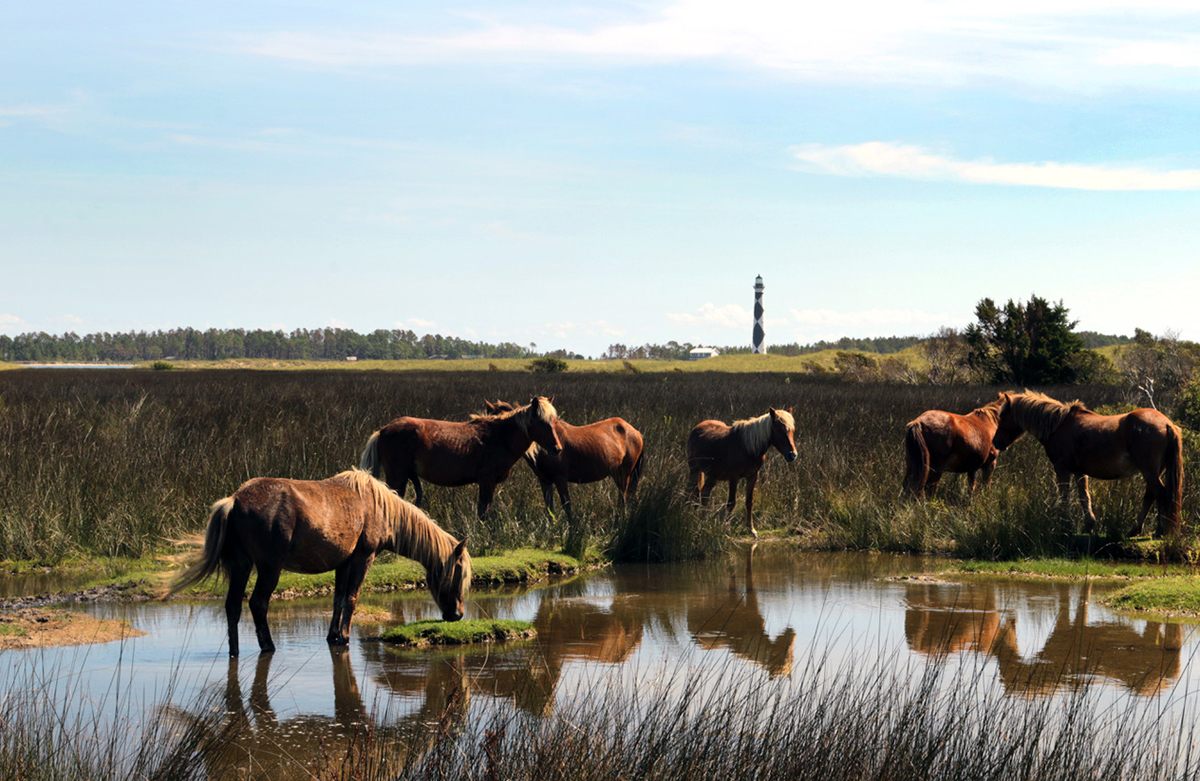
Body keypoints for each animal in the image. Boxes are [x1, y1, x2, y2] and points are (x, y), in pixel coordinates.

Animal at [169, 470, 468, 662]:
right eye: (459, 573)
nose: (458, 615)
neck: (379, 507)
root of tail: (234, 500)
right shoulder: (363, 557)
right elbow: (352, 598)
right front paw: (345, 637)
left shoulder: (343, 562)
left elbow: (338, 599)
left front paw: (333, 635)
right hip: (269, 568)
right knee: (258, 604)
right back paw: (268, 646)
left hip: (241, 566)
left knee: (233, 606)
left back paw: (235, 652)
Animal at [357, 398, 559, 518]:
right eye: (541, 422)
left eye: (554, 421)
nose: (557, 448)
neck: (499, 436)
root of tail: (383, 430)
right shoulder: (486, 481)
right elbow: (483, 512)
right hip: (397, 477)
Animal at [480, 400, 648, 523]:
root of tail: (635, 432)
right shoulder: (544, 481)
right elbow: (550, 508)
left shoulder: (560, 479)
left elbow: (567, 506)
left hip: (623, 475)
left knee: (623, 499)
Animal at [686, 405, 796, 539]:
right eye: (778, 430)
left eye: (793, 430)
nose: (792, 455)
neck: (747, 447)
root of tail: (697, 428)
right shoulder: (734, 478)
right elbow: (731, 502)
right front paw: (726, 529)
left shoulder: (753, 476)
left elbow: (749, 502)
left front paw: (751, 529)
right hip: (694, 470)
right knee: (692, 492)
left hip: (713, 475)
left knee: (704, 493)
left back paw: (703, 520)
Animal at [988, 391, 1185, 537]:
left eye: (1002, 416)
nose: (996, 442)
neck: (1058, 426)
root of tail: (1166, 424)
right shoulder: (1078, 471)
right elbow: (1084, 496)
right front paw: (1088, 525)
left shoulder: (1062, 468)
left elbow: (1065, 496)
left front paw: (1065, 524)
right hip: (1153, 472)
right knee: (1151, 495)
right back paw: (1136, 529)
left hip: (1149, 471)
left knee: (1160, 493)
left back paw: (1158, 531)